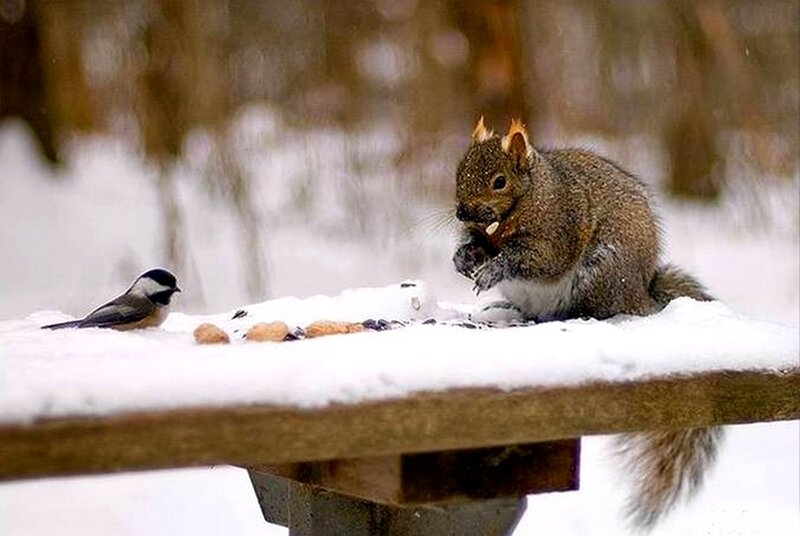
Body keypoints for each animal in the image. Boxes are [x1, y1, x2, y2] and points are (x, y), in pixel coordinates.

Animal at [452, 117, 723, 530]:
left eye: (499, 181)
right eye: (459, 172)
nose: (462, 213)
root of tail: (641, 297)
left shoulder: (557, 230)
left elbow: (536, 260)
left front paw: (494, 269)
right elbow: (476, 248)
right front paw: (463, 257)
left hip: (599, 274)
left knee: (590, 309)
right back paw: (509, 309)